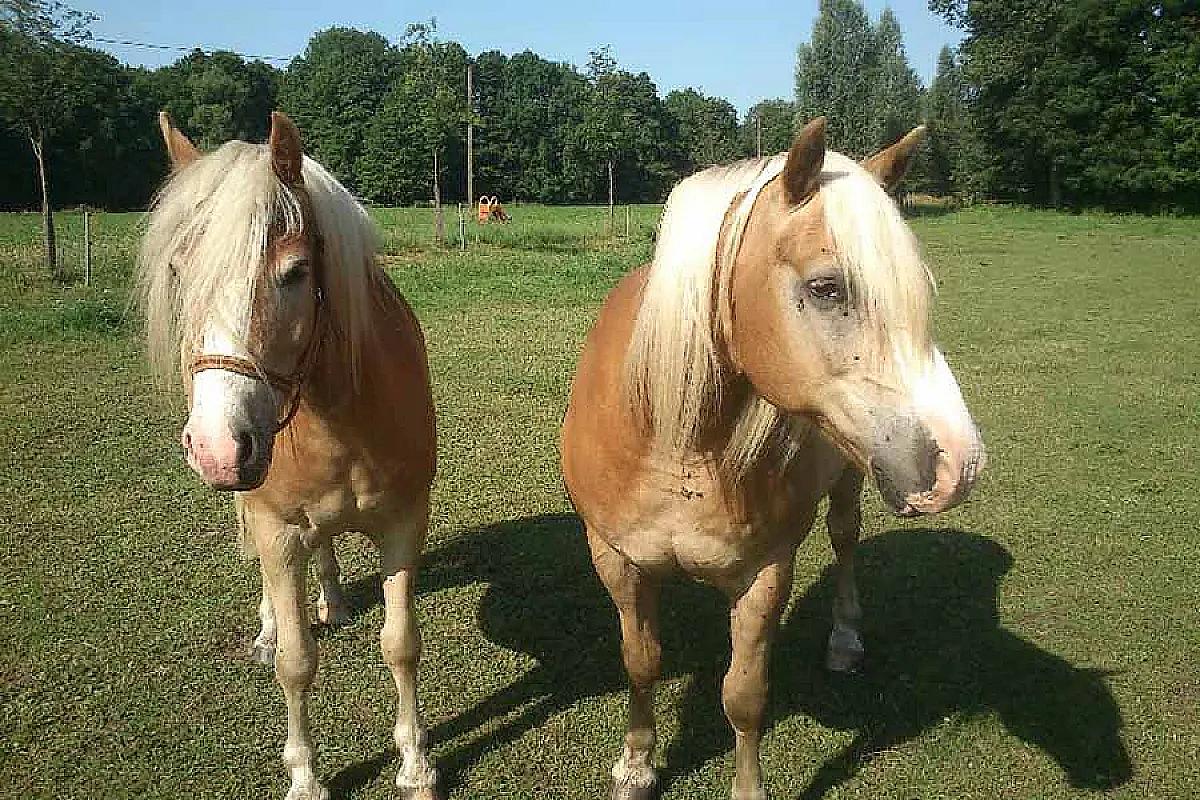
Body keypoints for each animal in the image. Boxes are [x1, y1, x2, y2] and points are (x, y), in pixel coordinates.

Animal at [138, 112, 439, 800]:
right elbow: (297, 663)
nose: (219, 448)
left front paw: (415, 764)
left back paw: (330, 598)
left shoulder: (404, 522)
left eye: (297, 272)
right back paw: (270, 625)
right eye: (180, 272)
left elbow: (401, 644)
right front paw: (305, 774)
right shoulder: (276, 529)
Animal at [560, 117, 987, 800]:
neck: (677, 445)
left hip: (850, 477)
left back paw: (845, 639)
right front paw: (636, 765)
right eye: (826, 288)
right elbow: (642, 662)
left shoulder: (764, 574)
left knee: (845, 540)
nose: (959, 464)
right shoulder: (616, 559)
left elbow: (744, 696)